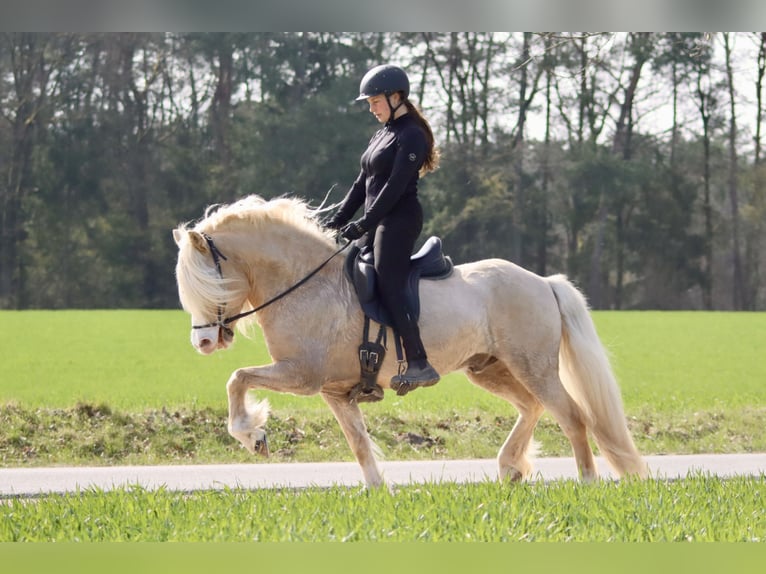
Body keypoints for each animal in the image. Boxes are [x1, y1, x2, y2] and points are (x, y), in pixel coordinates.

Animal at [172, 194, 648, 487]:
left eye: (208, 283)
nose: (203, 344)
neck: (306, 283)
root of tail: (543, 282)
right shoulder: (334, 392)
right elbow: (358, 443)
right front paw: (377, 491)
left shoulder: (301, 376)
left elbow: (237, 378)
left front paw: (252, 435)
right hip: (489, 369)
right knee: (532, 408)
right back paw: (510, 468)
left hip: (535, 367)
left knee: (572, 417)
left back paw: (587, 482)